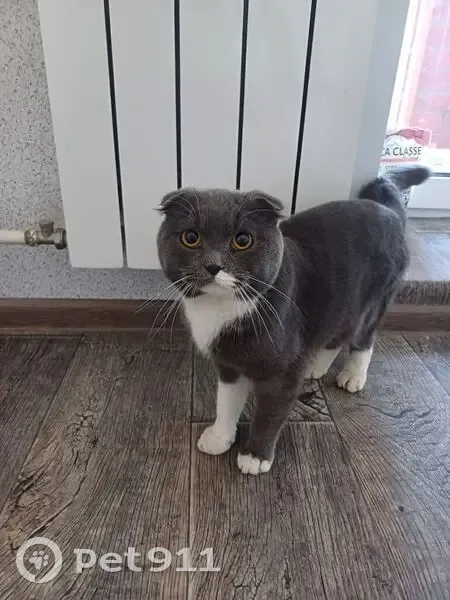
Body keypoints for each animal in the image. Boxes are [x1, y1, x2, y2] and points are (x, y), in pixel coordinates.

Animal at [157, 166, 430, 475]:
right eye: (191, 237)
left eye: (242, 240)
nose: (213, 265)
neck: (221, 310)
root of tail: (387, 209)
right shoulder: (228, 365)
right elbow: (225, 402)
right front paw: (219, 437)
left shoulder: (282, 372)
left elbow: (270, 412)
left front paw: (255, 456)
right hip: (339, 302)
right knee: (335, 335)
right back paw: (315, 366)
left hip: (374, 298)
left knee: (364, 336)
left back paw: (353, 376)